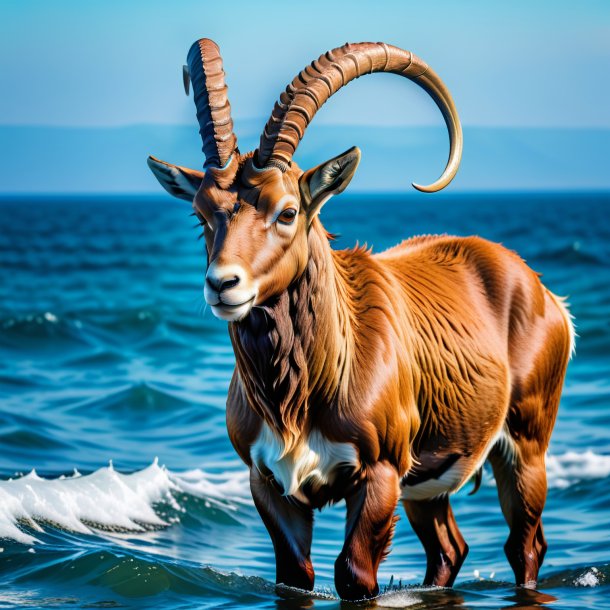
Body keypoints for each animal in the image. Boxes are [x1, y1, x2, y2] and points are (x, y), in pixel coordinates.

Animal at [147, 39, 568, 600]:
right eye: (200, 214)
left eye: (287, 211)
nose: (223, 285)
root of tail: (540, 289)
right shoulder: (269, 482)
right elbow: (294, 577)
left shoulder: (380, 473)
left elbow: (354, 574)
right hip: (426, 489)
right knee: (450, 549)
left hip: (525, 447)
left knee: (525, 545)